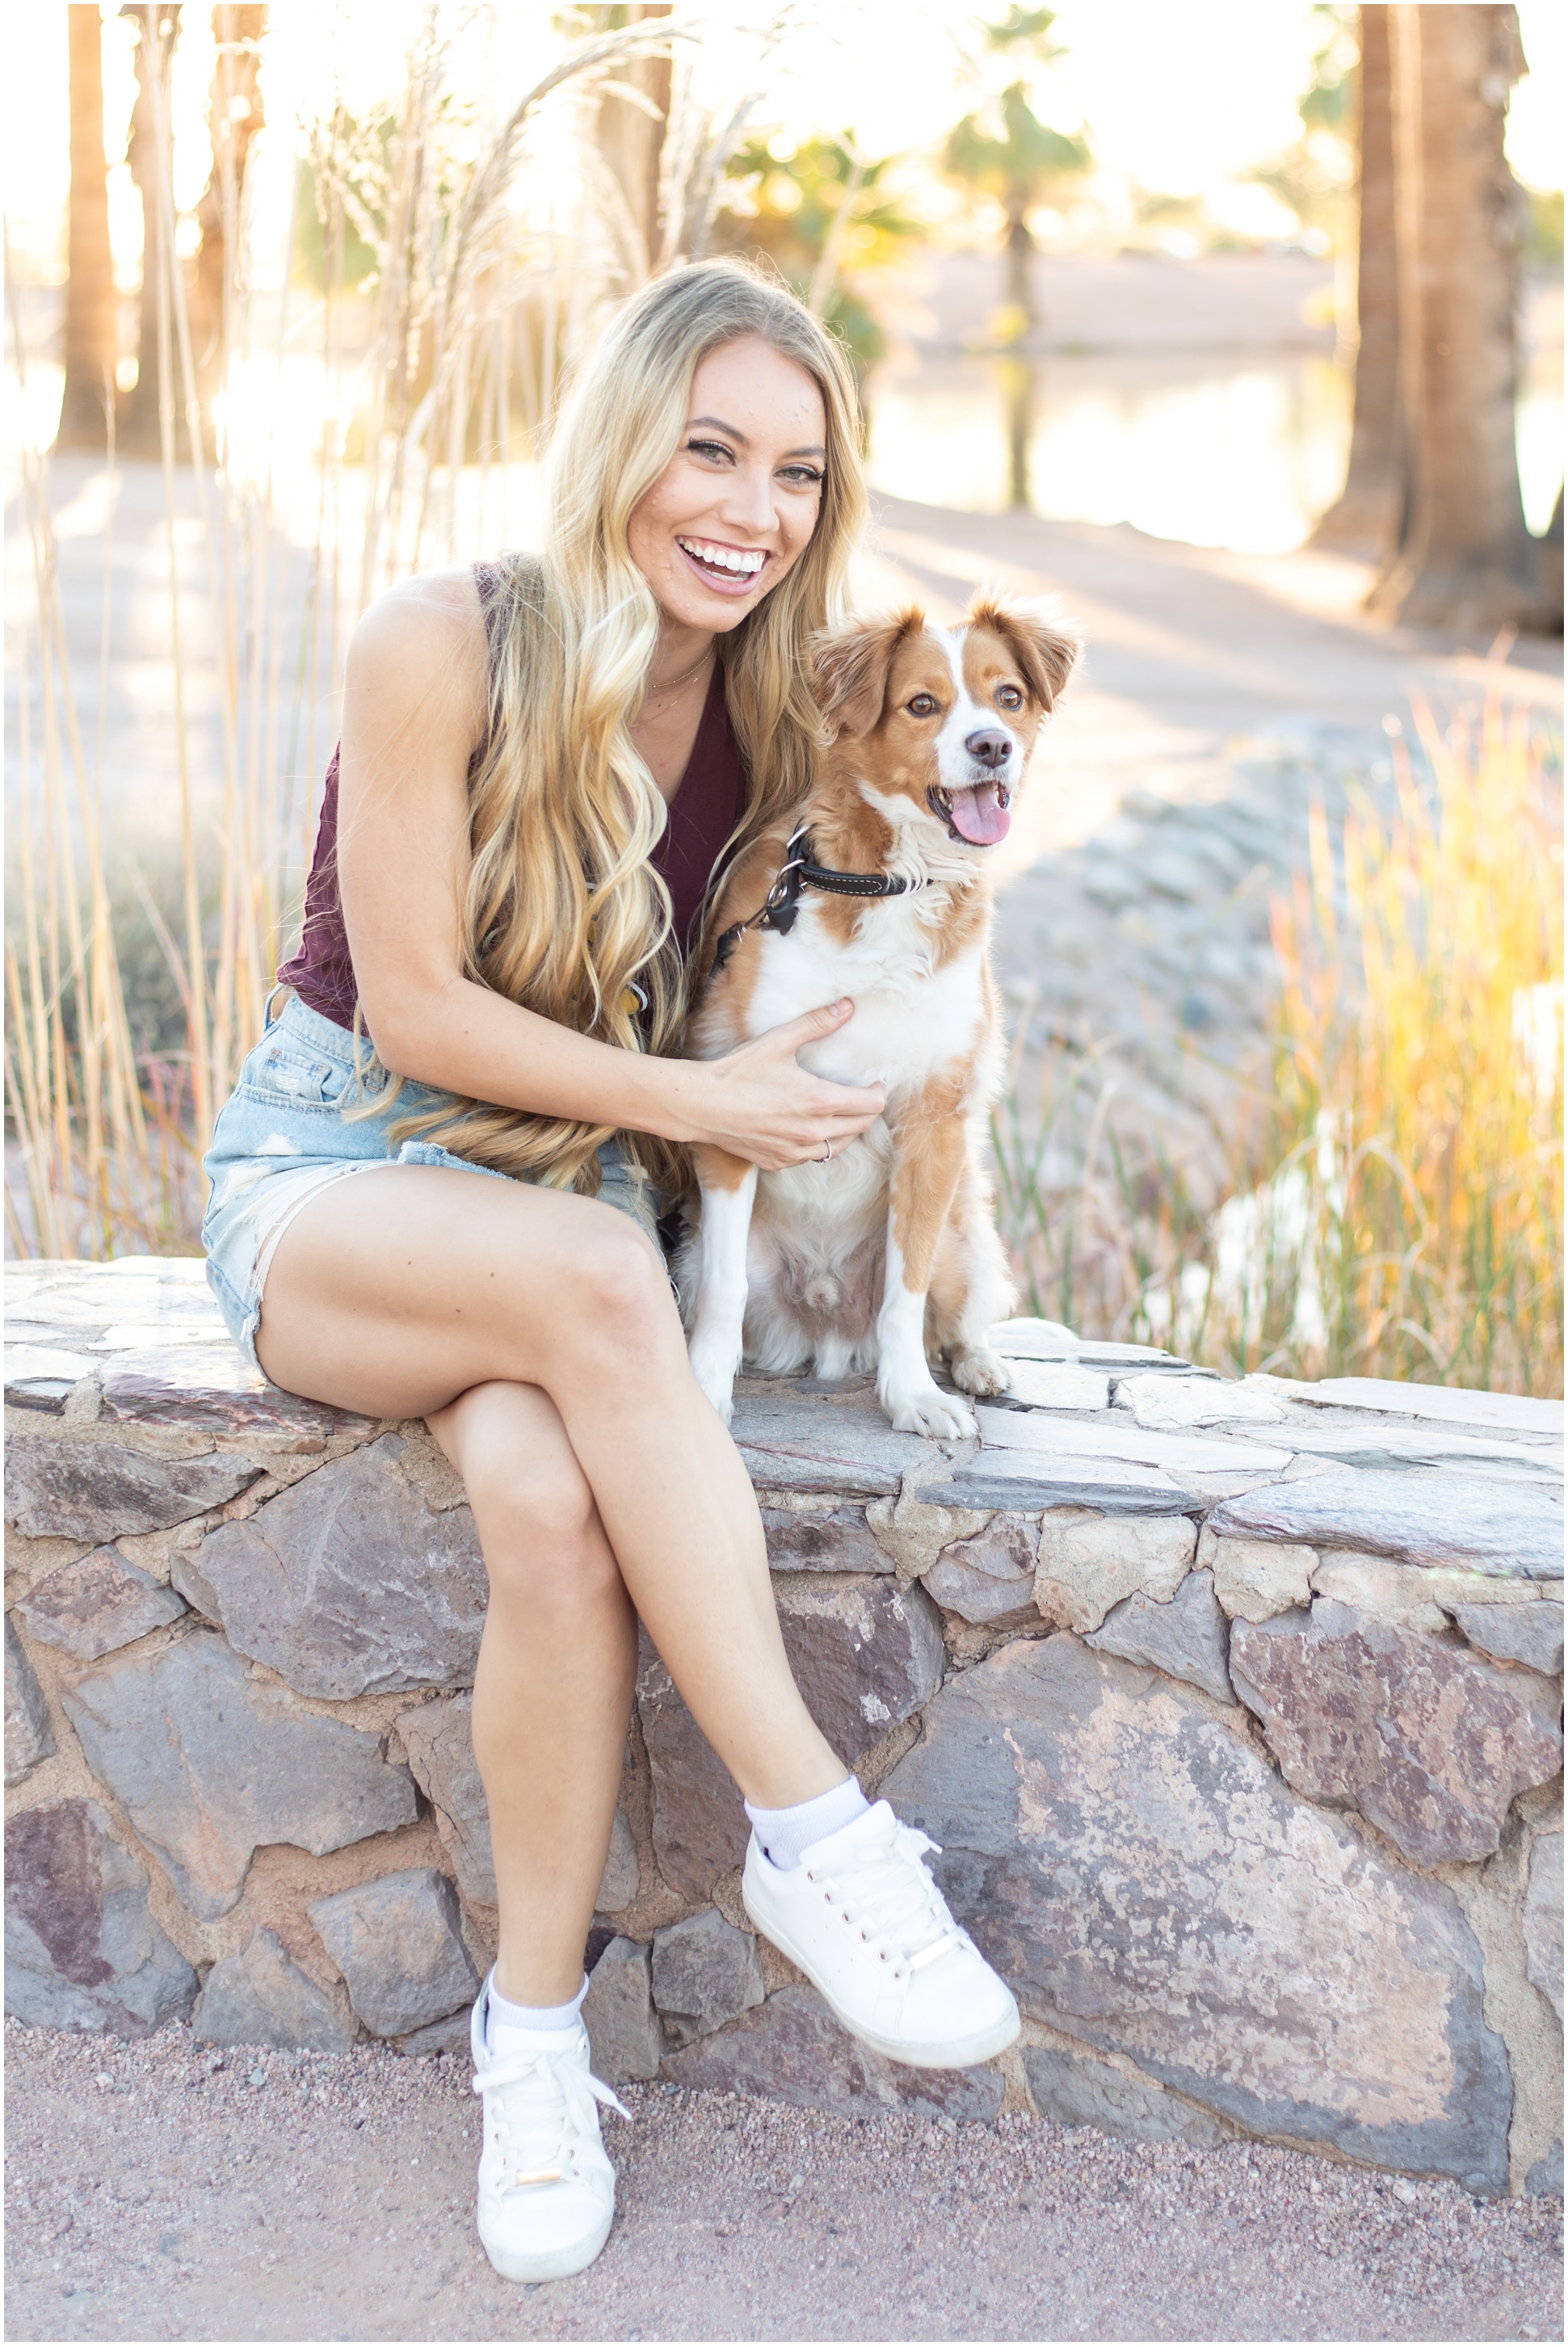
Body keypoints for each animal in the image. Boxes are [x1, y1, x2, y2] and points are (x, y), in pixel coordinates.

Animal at [675, 591, 1079, 1426]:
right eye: (922, 704)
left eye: (1008, 697)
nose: (992, 746)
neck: (896, 882)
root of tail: (827, 1331)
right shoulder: (734, 1103)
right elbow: (723, 1295)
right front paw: (703, 1391)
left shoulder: (935, 1120)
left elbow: (907, 1288)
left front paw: (910, 1396)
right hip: (695, 1252)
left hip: (967, 1230)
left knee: (954, 1314)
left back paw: (977, 1364)